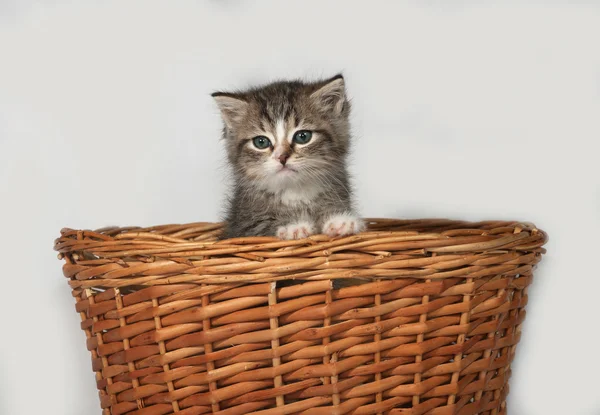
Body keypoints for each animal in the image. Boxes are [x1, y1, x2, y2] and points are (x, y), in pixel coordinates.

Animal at [216, 75, 366, 240]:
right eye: (261, 142)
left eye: (303, 136)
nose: (282, 157)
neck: (294, 192)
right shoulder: (242, 227)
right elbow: (264, 227)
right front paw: (293, 227)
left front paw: (341, 222)